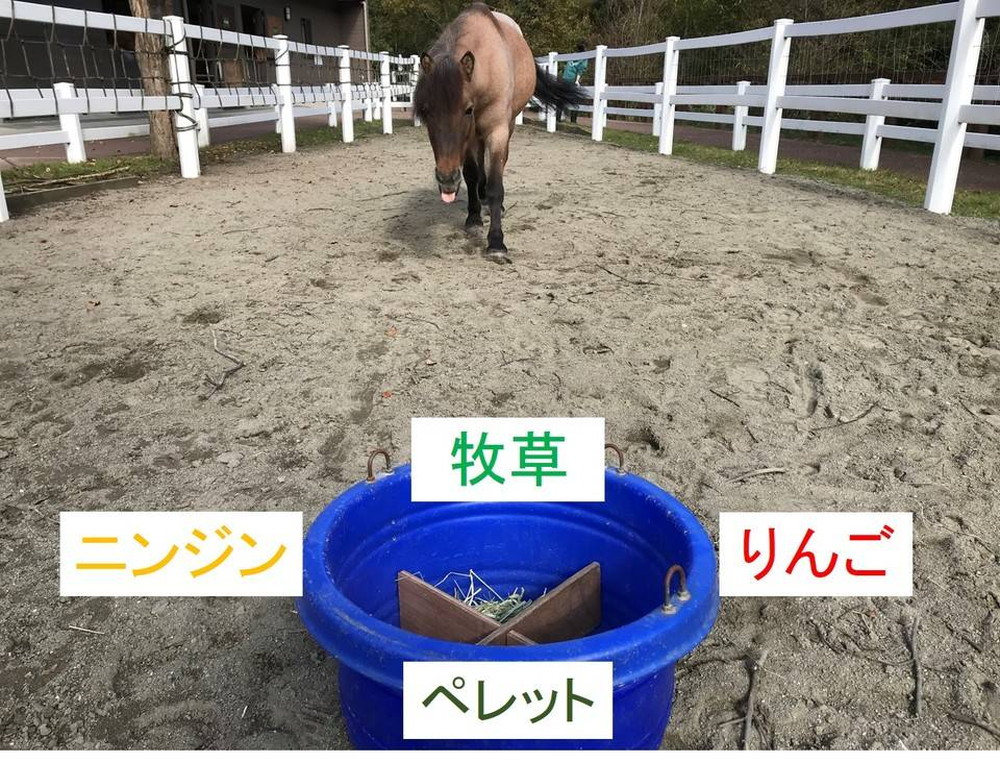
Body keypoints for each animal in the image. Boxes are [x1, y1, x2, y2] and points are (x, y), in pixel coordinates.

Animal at [413, 3, 587, 259]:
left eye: (467, 109)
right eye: (426, 110)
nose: (446, 180)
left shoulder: (497, 132)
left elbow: (496, 184)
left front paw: (496, 242)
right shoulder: (468, 140)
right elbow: (471, 175)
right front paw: (473, 218)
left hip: (508, 126)